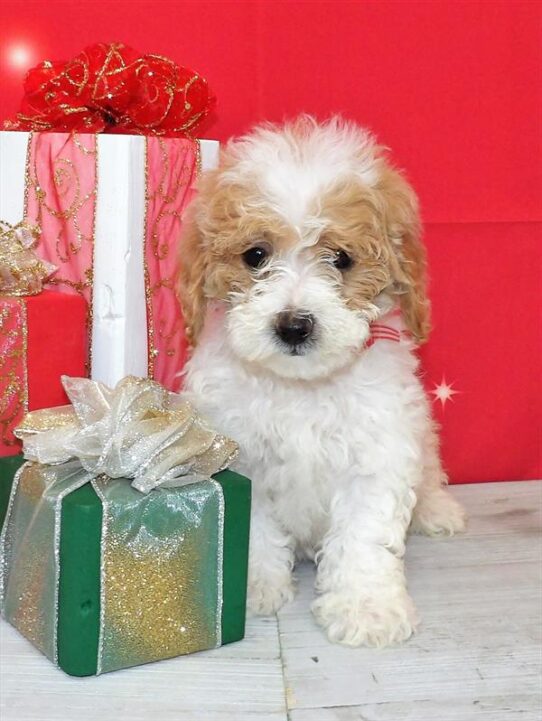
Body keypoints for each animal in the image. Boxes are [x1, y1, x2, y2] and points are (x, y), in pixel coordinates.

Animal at [178, 118, 468, 648]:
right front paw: (253, 587)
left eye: (341, 258)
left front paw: (366, 607)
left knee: (430, 470)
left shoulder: (377, 454)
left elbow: (363, 537)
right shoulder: (243, 457)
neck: (302, 387)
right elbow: (255, 529)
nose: (294, 325)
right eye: (255, 255)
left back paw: (437, 511)